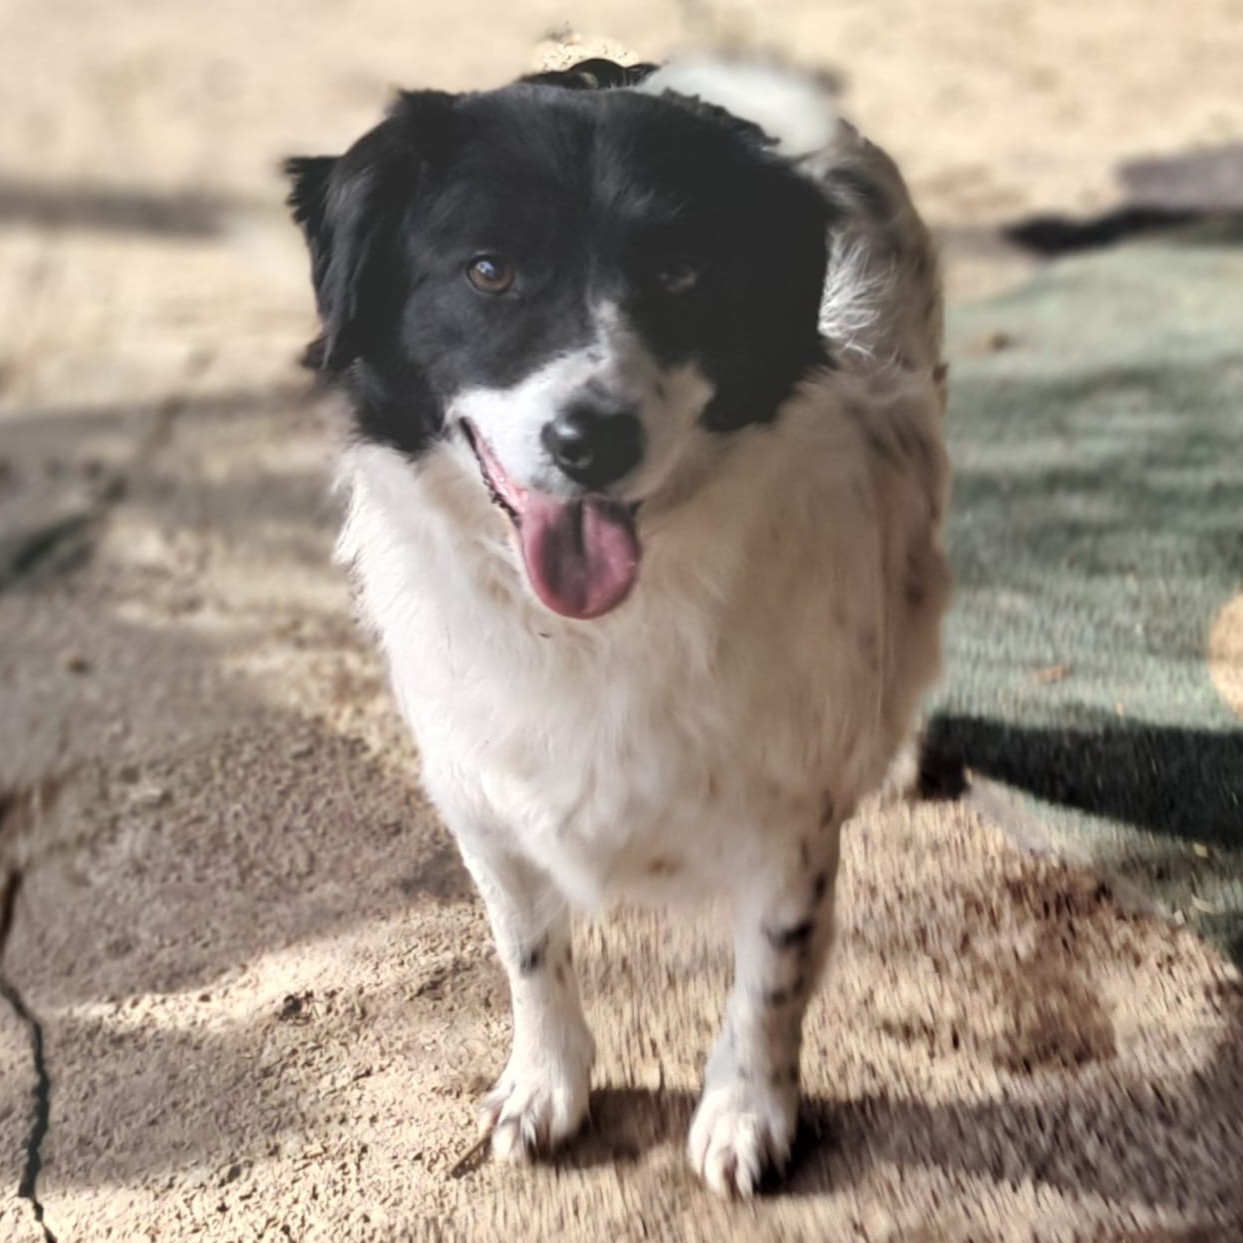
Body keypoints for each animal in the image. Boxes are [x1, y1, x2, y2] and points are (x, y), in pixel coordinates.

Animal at [285, 54, 950, 1197]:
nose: (591, 437)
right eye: (488, 270)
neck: (592, 632)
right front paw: (543, 1085)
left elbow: (769, 978)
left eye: (682, 273)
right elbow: (528, 955)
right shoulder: (481, 802)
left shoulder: (788, 822)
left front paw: (746, 1110)